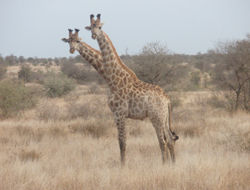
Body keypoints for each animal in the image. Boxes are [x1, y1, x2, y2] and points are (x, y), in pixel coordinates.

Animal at [85, 13, 178, 166]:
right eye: (90, 27)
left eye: (100, 27)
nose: (94, 35)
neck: (114, 80)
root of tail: (167, 99)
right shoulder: (118, 114)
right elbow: (121, 141)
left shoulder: (119, 113)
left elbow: (122, 142)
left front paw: (122, 166)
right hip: (164, 117)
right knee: (170, 139)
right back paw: (173, 164)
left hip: (156, 117)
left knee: (163, 141)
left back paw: (163, 165)